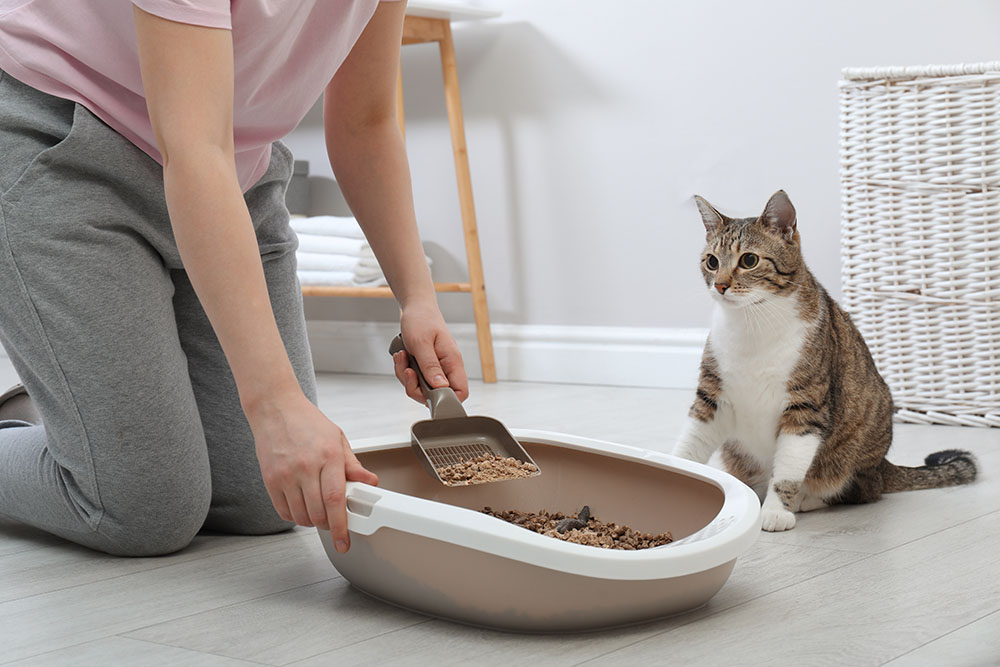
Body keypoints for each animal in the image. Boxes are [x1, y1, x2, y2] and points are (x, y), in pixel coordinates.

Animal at [672, 189, 976, 532]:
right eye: (711, 261)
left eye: (749, 260)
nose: (720, 285)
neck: (752, 324)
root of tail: (883, 465)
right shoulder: (711, 396)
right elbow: (689, 444)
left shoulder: (806, 404)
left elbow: (789, 467)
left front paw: (776, 510)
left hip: (855, 450)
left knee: (859, 490)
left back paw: (806, 499)